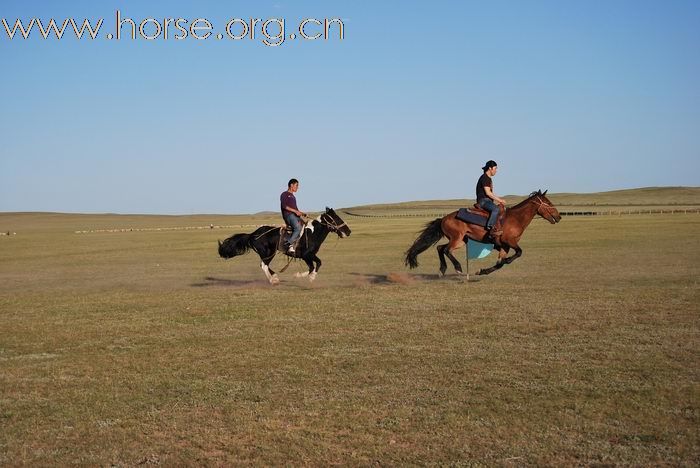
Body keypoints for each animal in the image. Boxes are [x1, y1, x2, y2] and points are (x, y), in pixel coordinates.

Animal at [217, 208, 350, 286]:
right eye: (336, 218)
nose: (348, 232)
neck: (312, 233)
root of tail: (253, 234)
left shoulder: (310, 255)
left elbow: (317, 264)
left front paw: (308, 277)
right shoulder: (306, 255)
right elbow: (314, 266)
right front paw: (306, 277)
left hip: (268, 253)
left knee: (265, 265)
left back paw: (275, 277)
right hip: (268, 252)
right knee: (264, 265)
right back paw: (273, 280)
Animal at [408, 190, 560, 276]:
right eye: (548, 202)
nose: (558, 216)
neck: (516, 219)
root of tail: (444, 218)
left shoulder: (504, 246)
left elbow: (500, 264)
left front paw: (482, 271)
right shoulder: (509, 242)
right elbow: (518, 253)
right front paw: (506, 261)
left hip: (461, 240)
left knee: (440, 248)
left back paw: (442, 270)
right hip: (456, 239)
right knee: (446, 250)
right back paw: (458, 268)